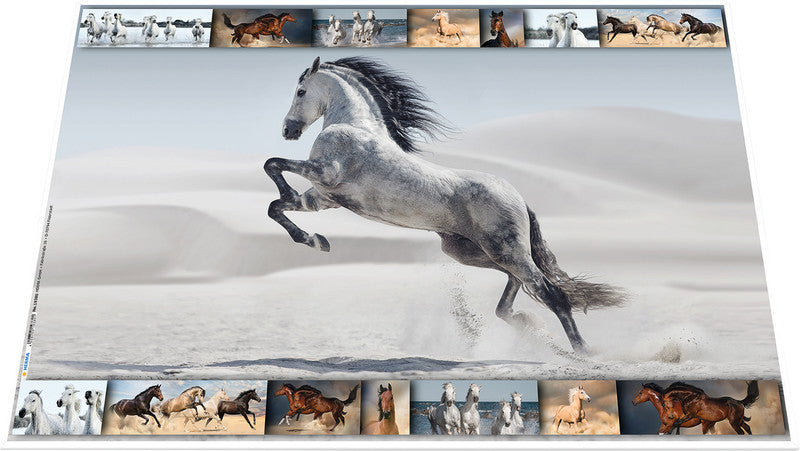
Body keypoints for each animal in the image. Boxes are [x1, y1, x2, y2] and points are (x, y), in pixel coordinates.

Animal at [265, 56, 624, 353]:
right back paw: (525, 323)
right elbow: (276, 206)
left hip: (505, 250)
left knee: (551, 293)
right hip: (470, 251)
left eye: (300, 91)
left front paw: (302, 218)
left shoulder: (325, 172)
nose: (287, 130)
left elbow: (273, 165)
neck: (355, 126)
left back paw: (582, 352)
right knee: (516, 285)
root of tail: (519, 198)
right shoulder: (323, 197)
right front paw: (316, 240)